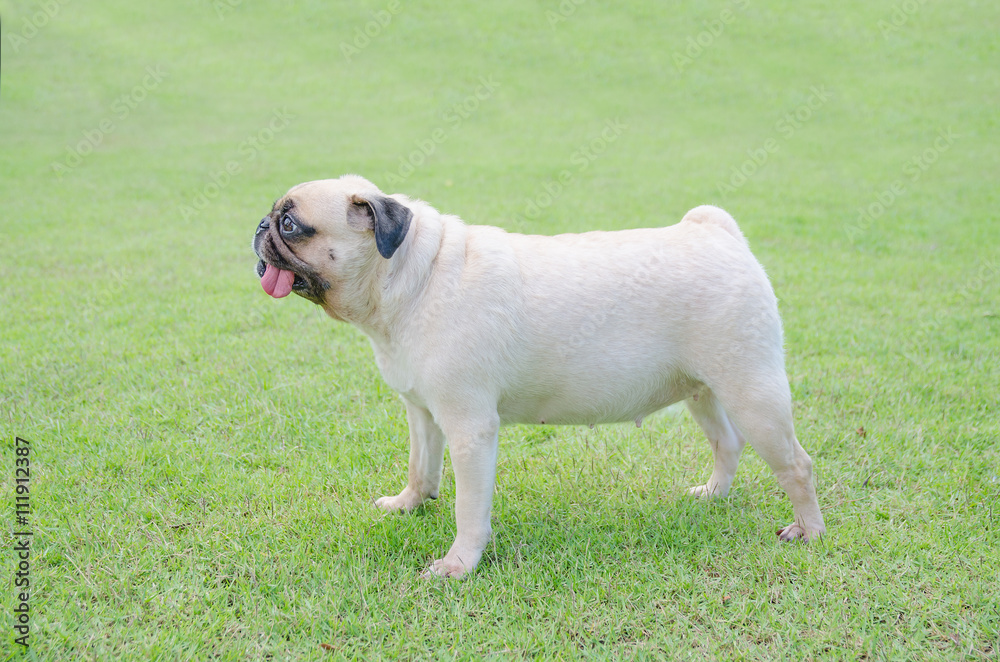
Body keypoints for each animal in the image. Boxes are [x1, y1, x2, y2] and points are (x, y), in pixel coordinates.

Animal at [252, 174, 828, 580]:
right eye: (276, 219)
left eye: (292, 225)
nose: (259, 226)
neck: (413, 277)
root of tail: (715, 232)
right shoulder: (423, 412)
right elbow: (421, 469)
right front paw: (408, 505)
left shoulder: (470, 429)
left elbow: (468, 508)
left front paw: (459, 564)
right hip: (703, 390)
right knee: (727, 444)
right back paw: (712, 495)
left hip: (752, 392)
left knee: (796, 465)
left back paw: (809, 531)